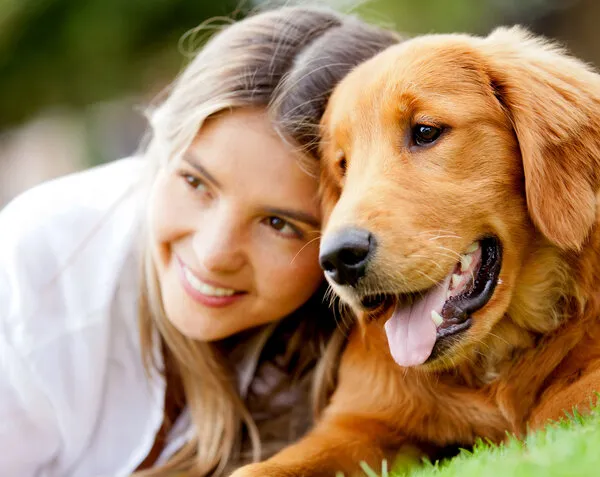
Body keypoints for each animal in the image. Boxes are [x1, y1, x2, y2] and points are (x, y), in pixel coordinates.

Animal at [231, 27, 600, 476]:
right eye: (342, 166)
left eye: (425, 132)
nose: (337, 260)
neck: (489, 361)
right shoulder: (360, 420)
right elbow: (261, 467)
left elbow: (560, 404)